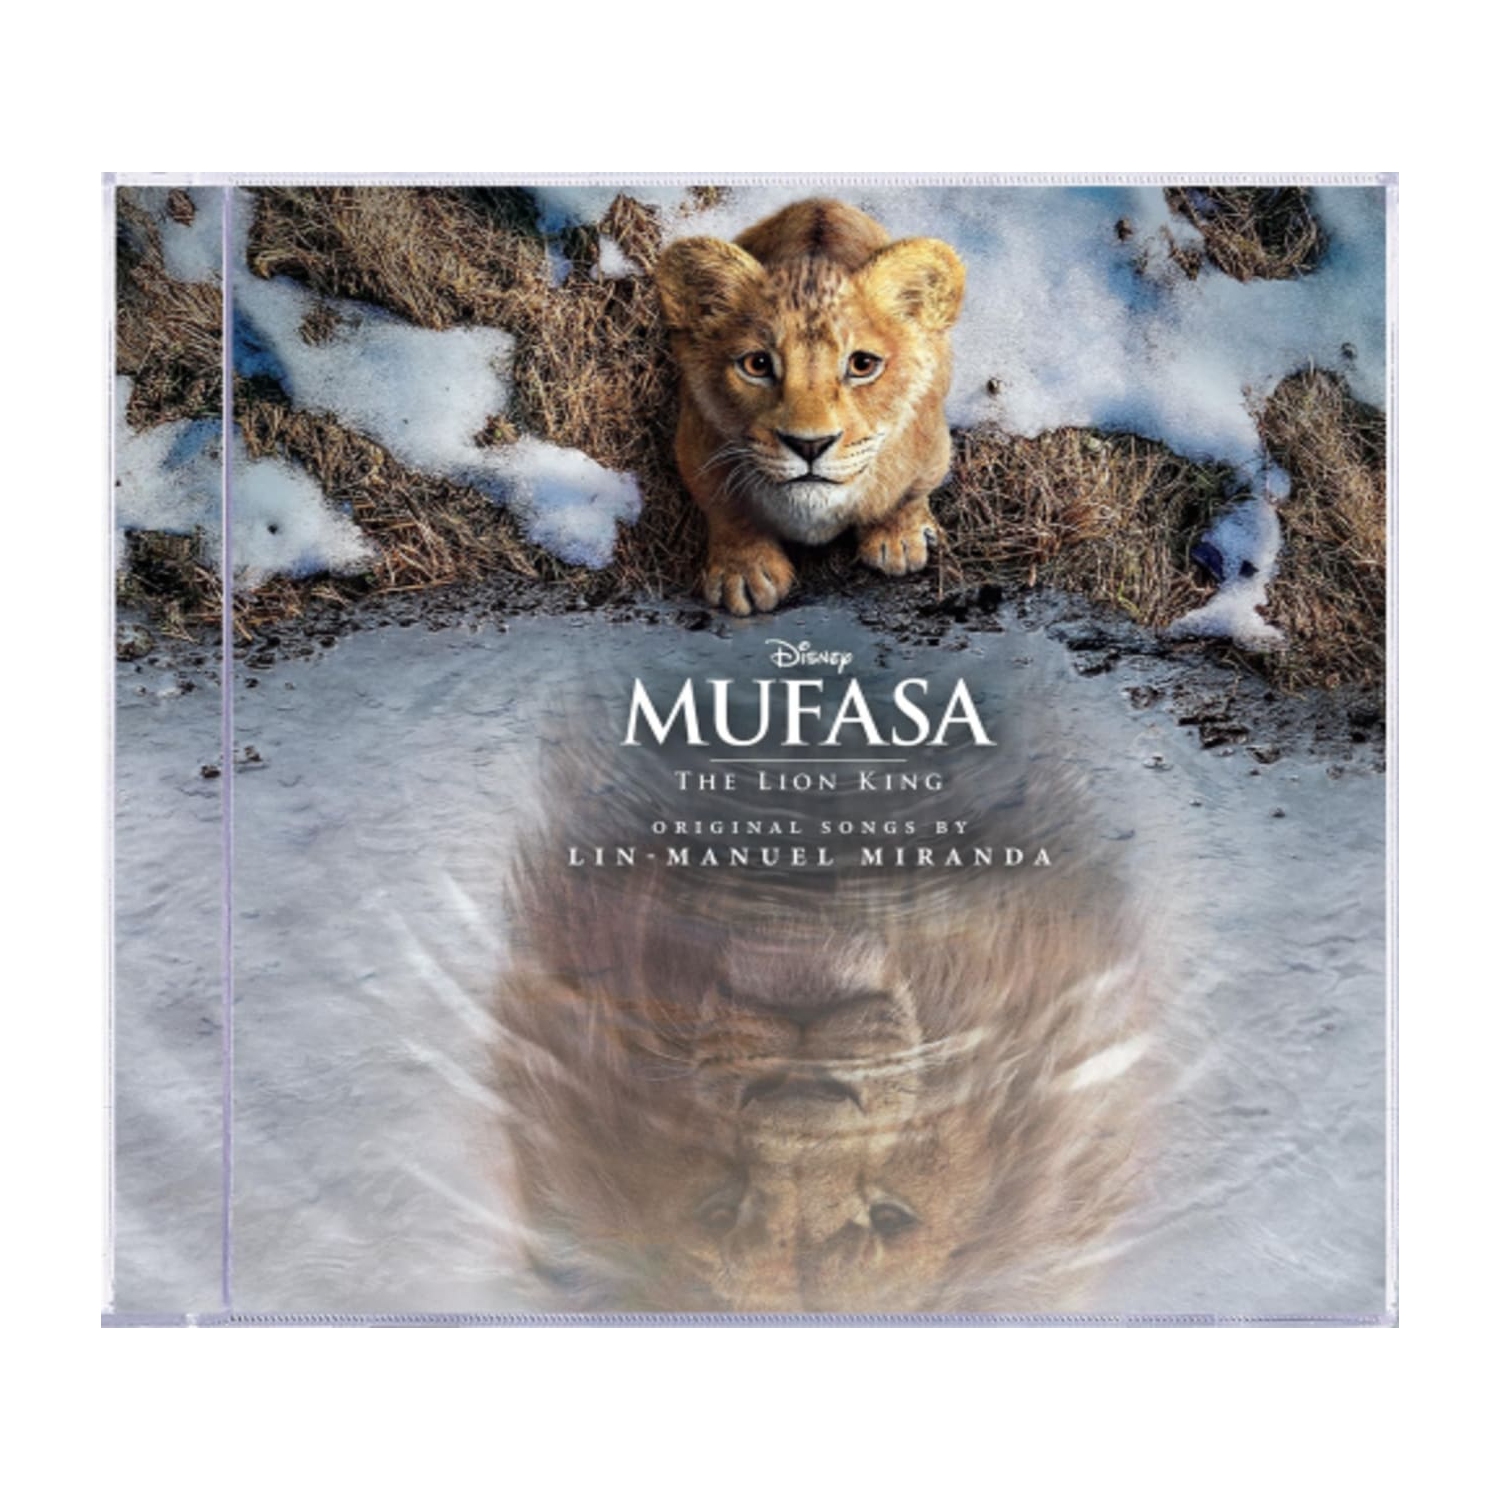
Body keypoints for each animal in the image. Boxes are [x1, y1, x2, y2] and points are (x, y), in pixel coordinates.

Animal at [656, 199, 965, 615]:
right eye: (757, 365)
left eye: (862, 364)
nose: (809, 445)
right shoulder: (696, 444)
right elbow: (727, 509)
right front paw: (745, 573)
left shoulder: (932, 445)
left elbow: (908, 493)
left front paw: (899, 539)